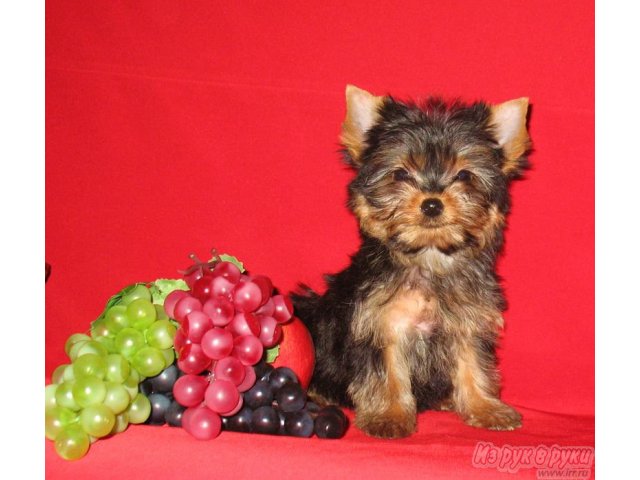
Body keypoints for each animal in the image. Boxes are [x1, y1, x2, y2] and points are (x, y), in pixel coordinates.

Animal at [294, 86, 528, 438]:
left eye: (464, 175)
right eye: (400, 173)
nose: (431, 204)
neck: (428, 257)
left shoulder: (467, 321)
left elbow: (473, 362)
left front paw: (485, 407)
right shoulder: (380, 323)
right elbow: (387, 372)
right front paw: (389, 416)